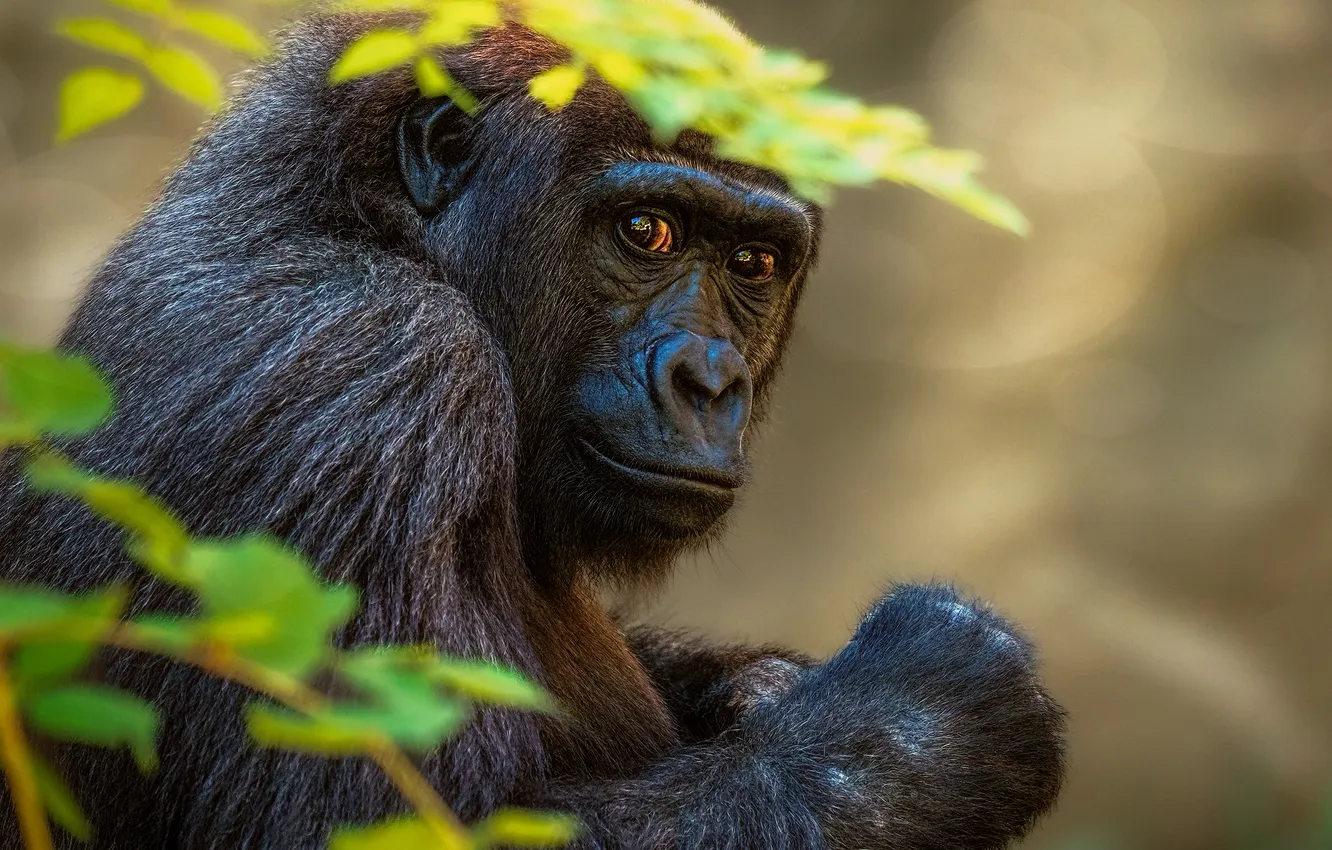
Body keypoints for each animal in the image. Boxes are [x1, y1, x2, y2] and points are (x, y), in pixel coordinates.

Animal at [0, 11, 1065, 849]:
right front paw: (930, 721)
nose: (710, 380)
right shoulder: (368, 374)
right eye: (647, 231)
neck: (345, 214)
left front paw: (764, 687)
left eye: (754, 263)